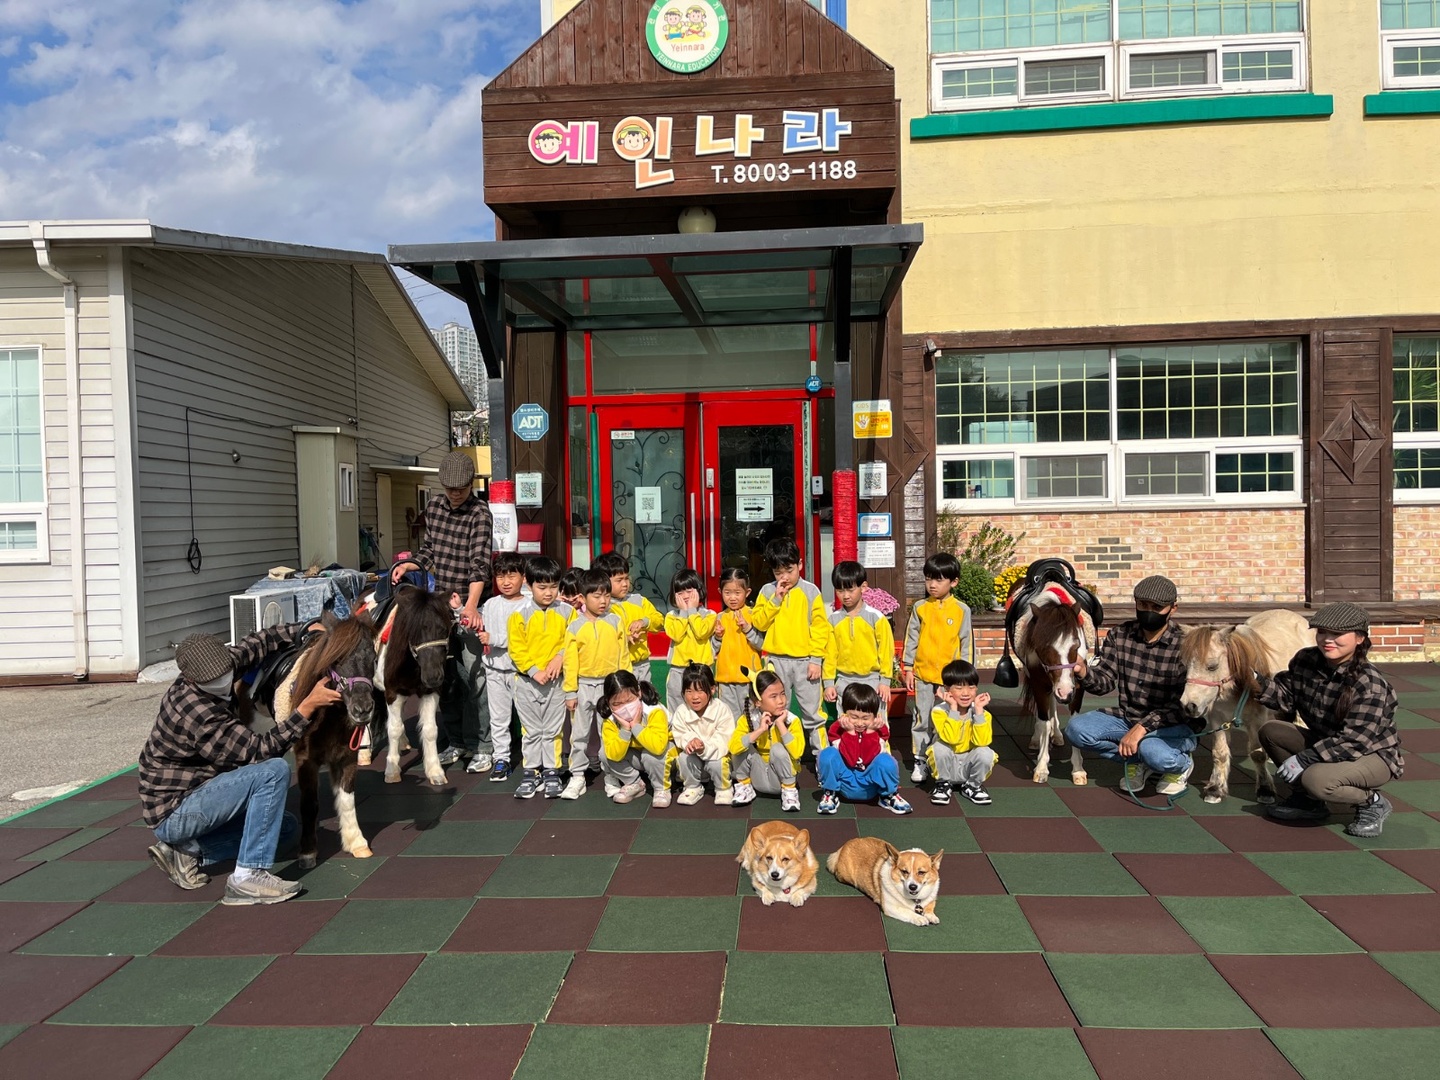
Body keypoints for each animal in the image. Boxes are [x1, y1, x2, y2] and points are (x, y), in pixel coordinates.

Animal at [1013, 584, 1088, 789]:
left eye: (1076, 645)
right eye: (1045, 647)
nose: (1065, 691)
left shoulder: (1078, 686)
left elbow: (1074, 723)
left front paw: (1078, 770)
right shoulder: (1039, 684)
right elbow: (1044, 723)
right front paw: (1041, 768)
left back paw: (1058, 735)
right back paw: (1037, 739)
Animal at [1180, 610, 1319, 806]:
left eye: (1212, 666)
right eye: (1186, 665)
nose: (1189, 705)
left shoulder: (1256, 720)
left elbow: (1257, 753)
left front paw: (1265, 790)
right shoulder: (1217, 718)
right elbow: (1220, 753)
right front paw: (1215, 790)